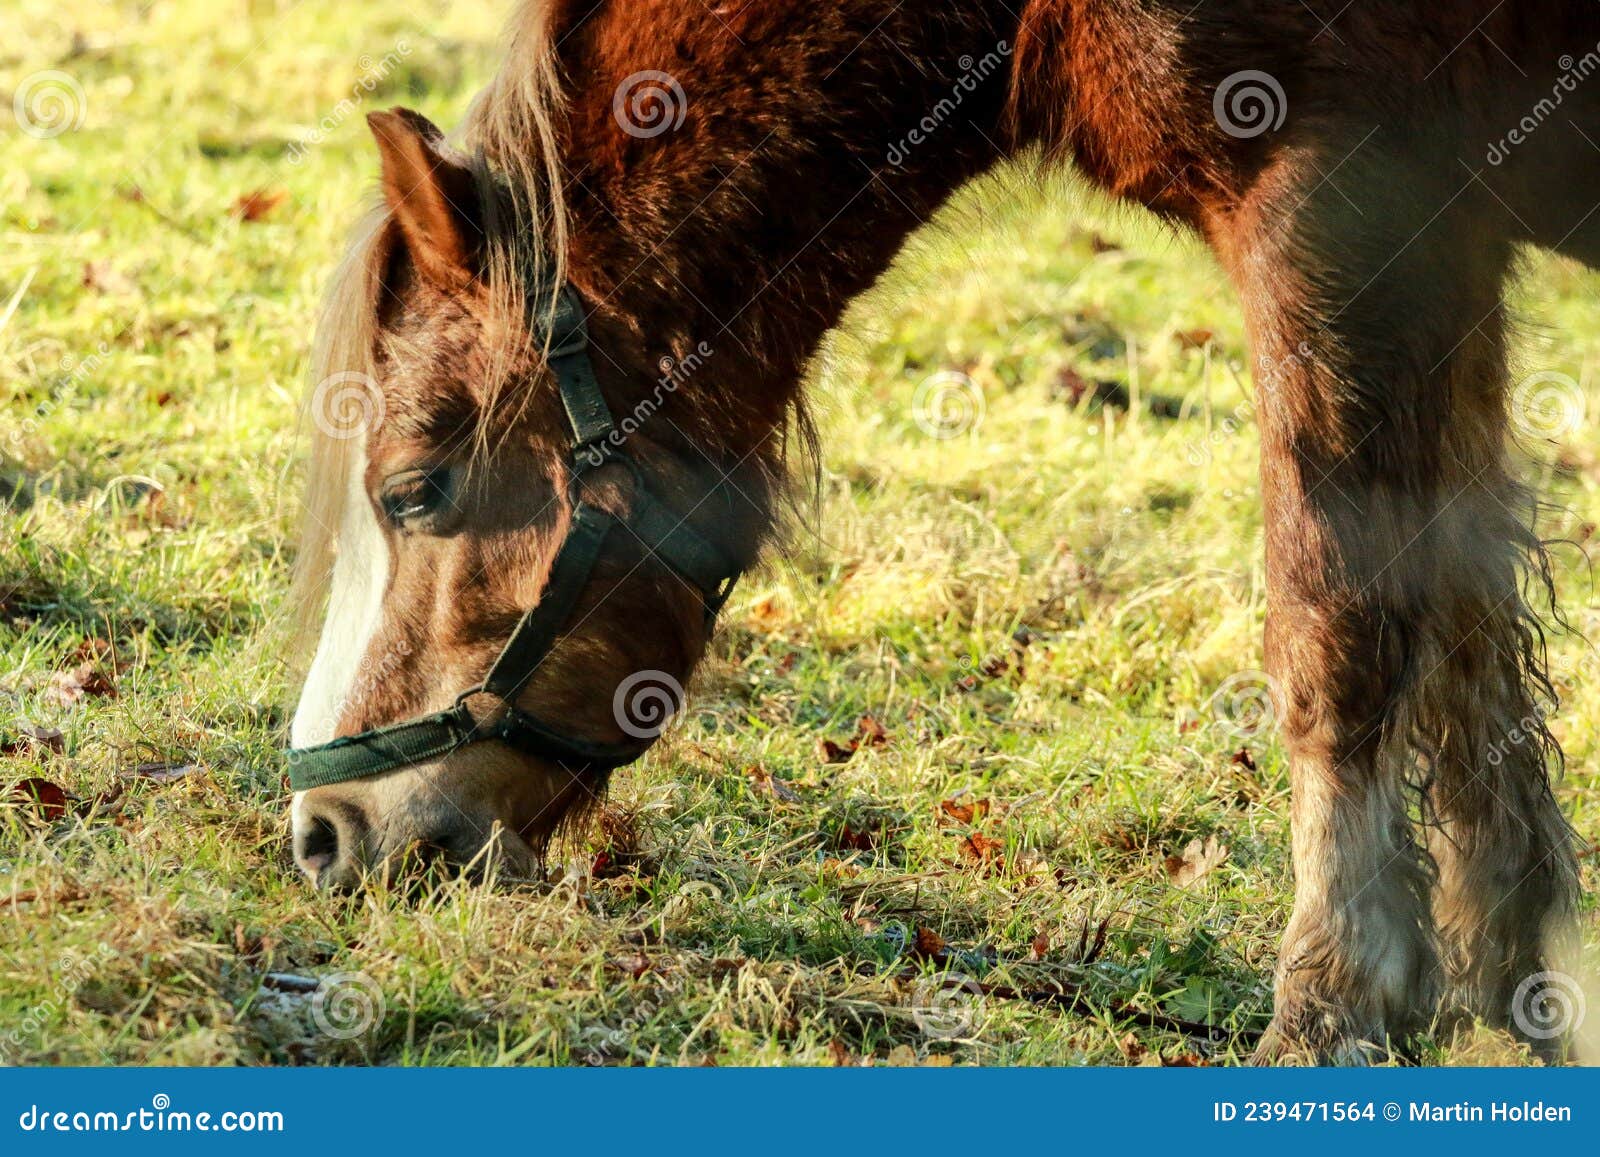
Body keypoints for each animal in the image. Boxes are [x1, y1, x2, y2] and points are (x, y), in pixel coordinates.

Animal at [285, 0, 1598, 1063]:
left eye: (412, 491)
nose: (321, 834)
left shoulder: (1335, 200)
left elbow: (1338, 628)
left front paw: (1334, 1000)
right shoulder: (1443, 245)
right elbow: (1468, 624)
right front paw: (1516, 977)